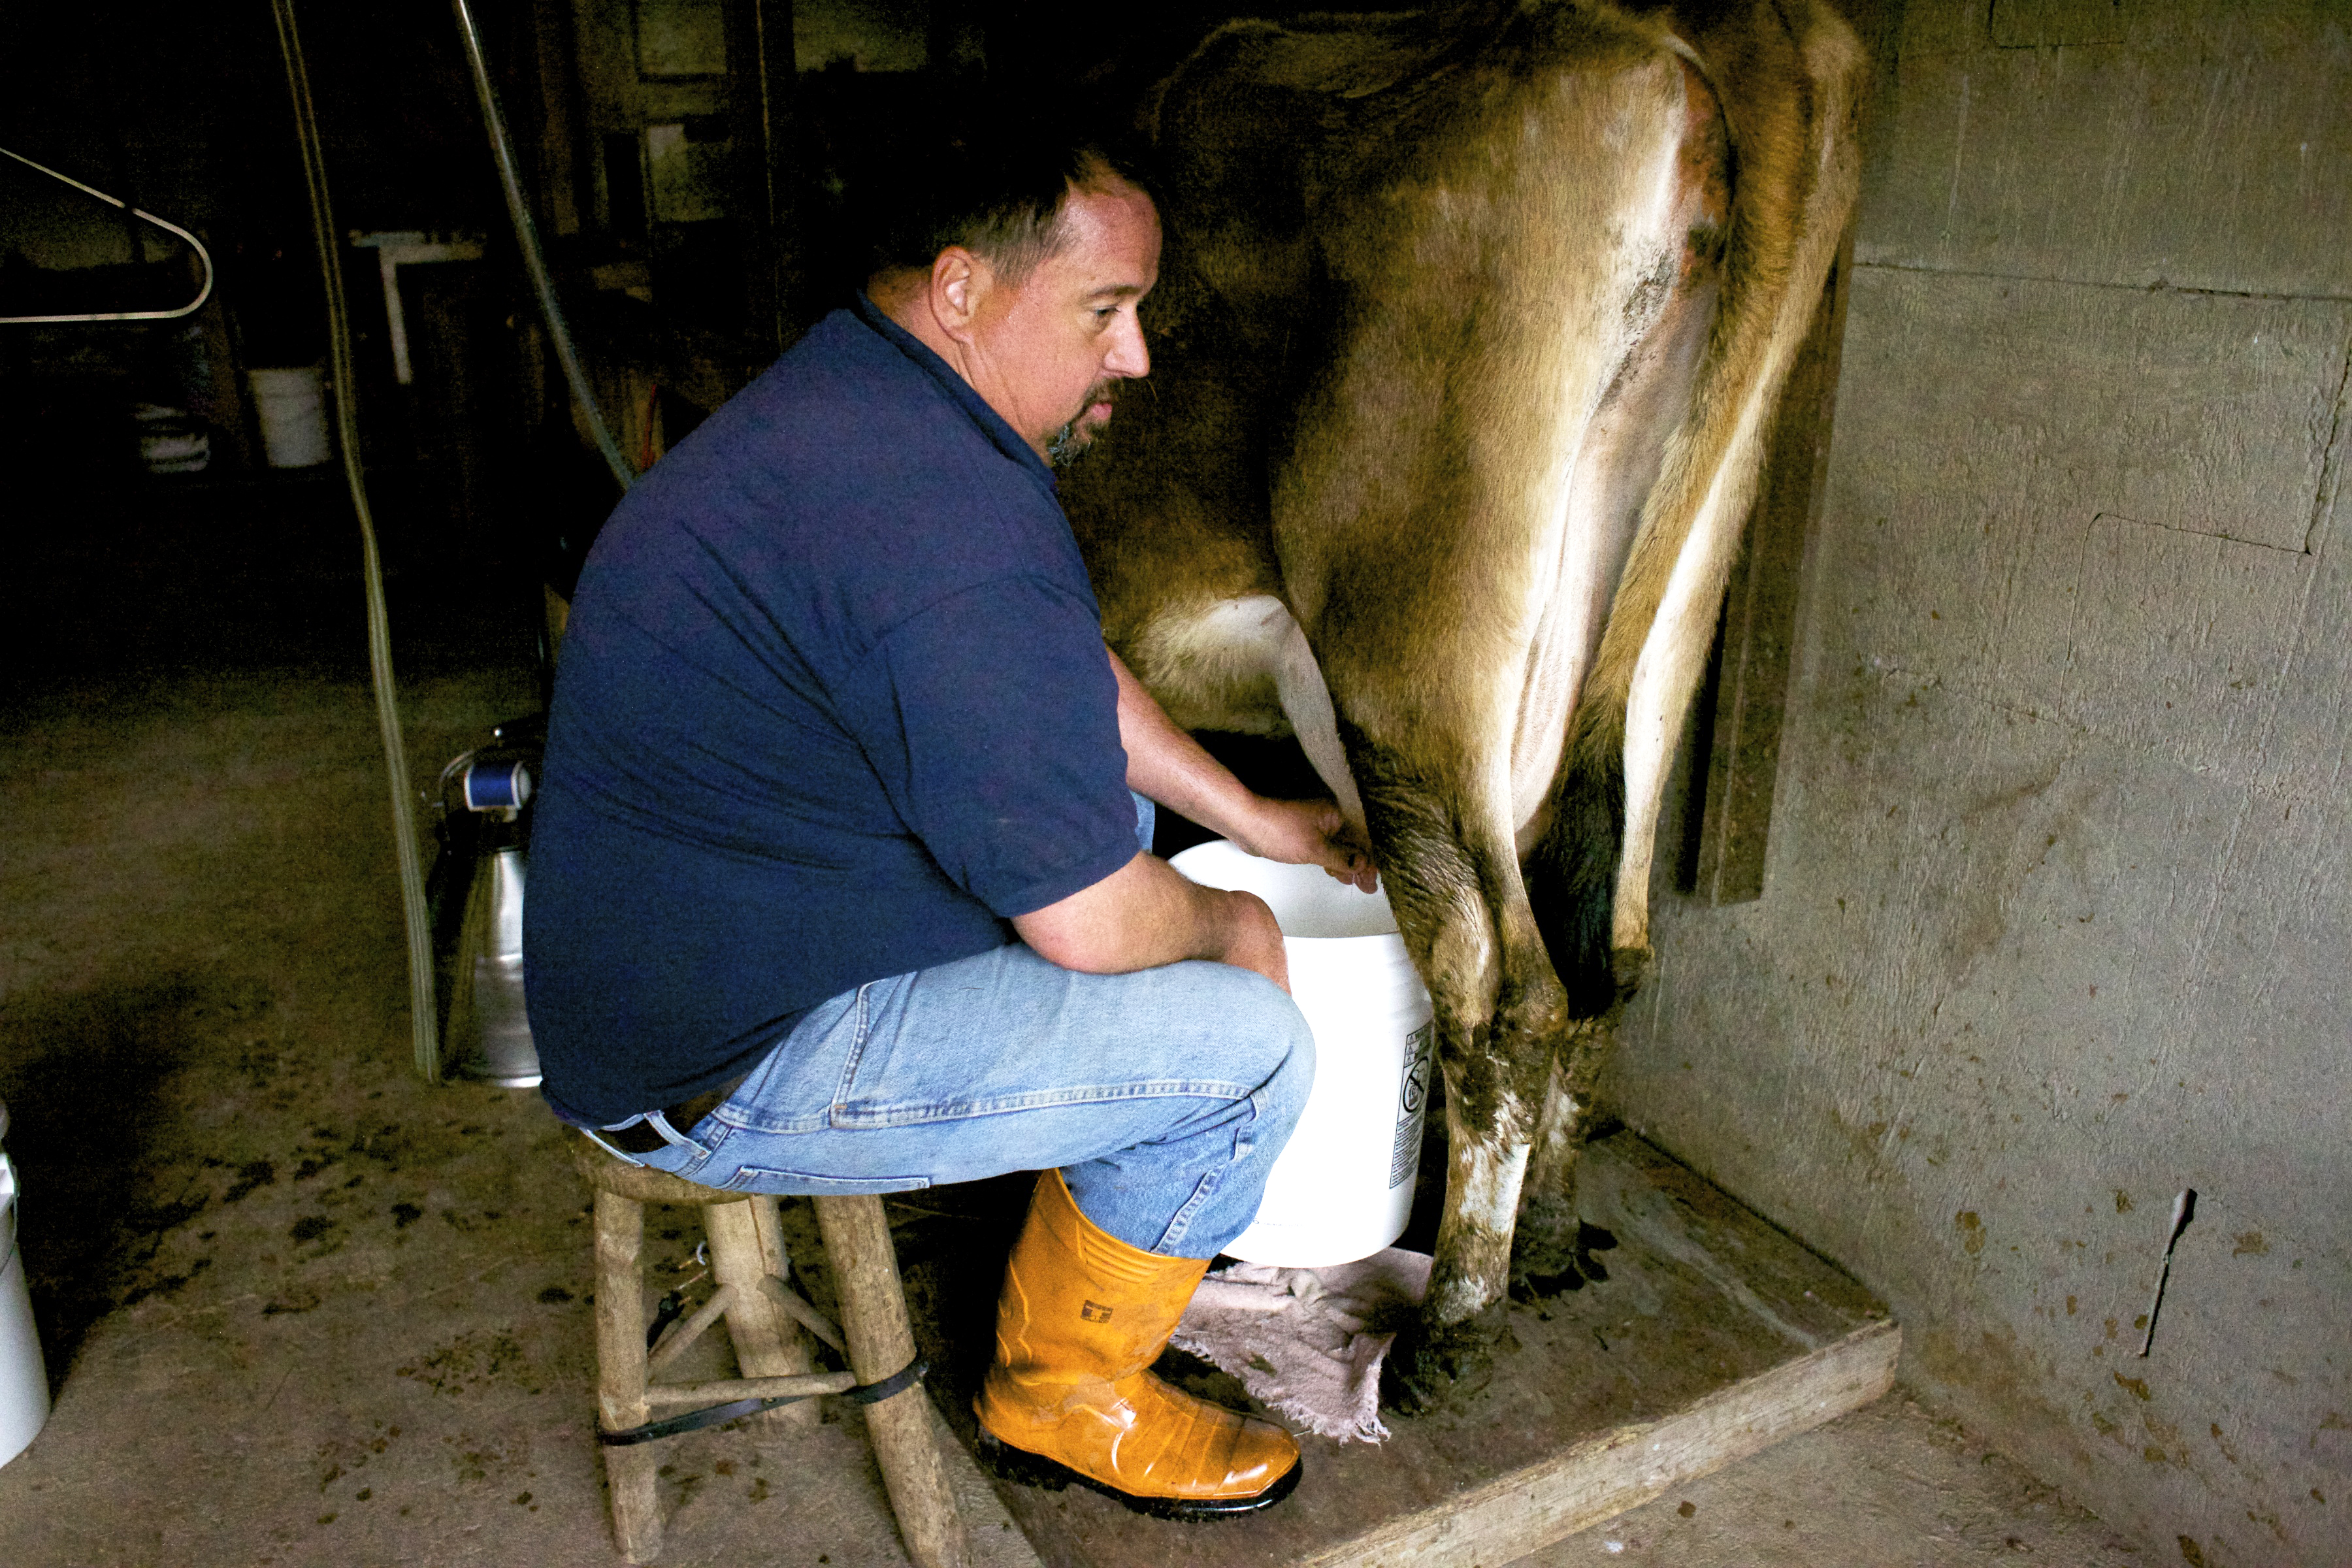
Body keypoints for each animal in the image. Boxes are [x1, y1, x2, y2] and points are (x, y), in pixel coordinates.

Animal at [1058, 0, 1863, 1401]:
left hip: (1413, 659)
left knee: (1502, 988)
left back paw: (1457, 1325)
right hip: (1669, 616)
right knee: (1614, 956)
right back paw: (1543, 1242)